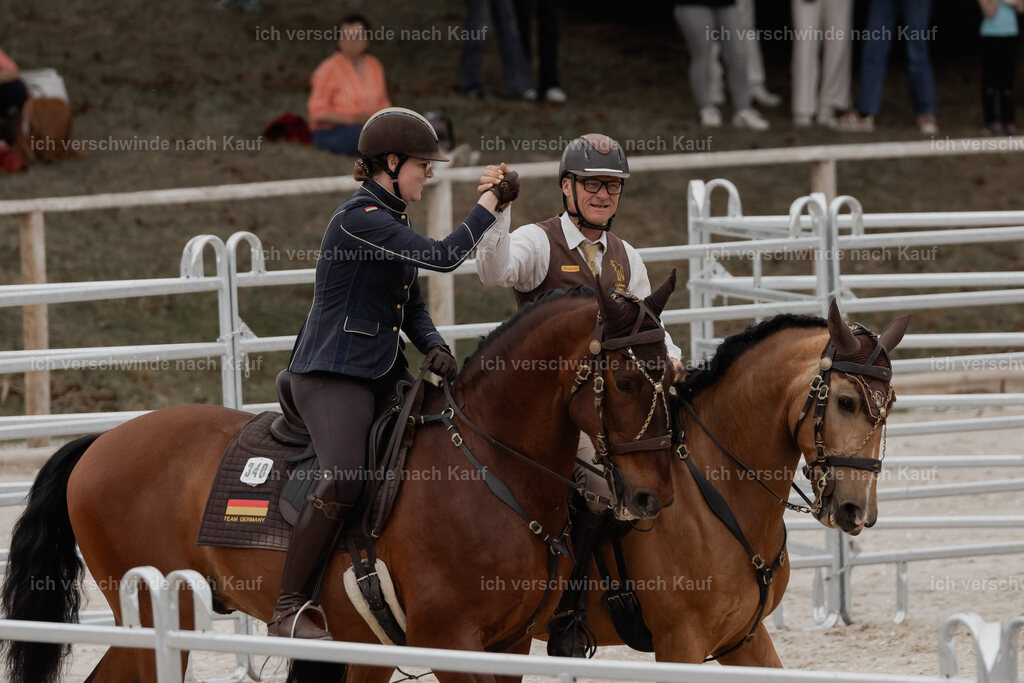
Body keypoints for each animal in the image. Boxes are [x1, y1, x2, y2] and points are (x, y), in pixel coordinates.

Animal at [0, 276, 680, 683]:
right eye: (625, 382)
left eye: (671, 374)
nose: (654, 496)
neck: (489, 466)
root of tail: (101, 441)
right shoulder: (450, 643)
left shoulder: (505, 647)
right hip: (156, 616)